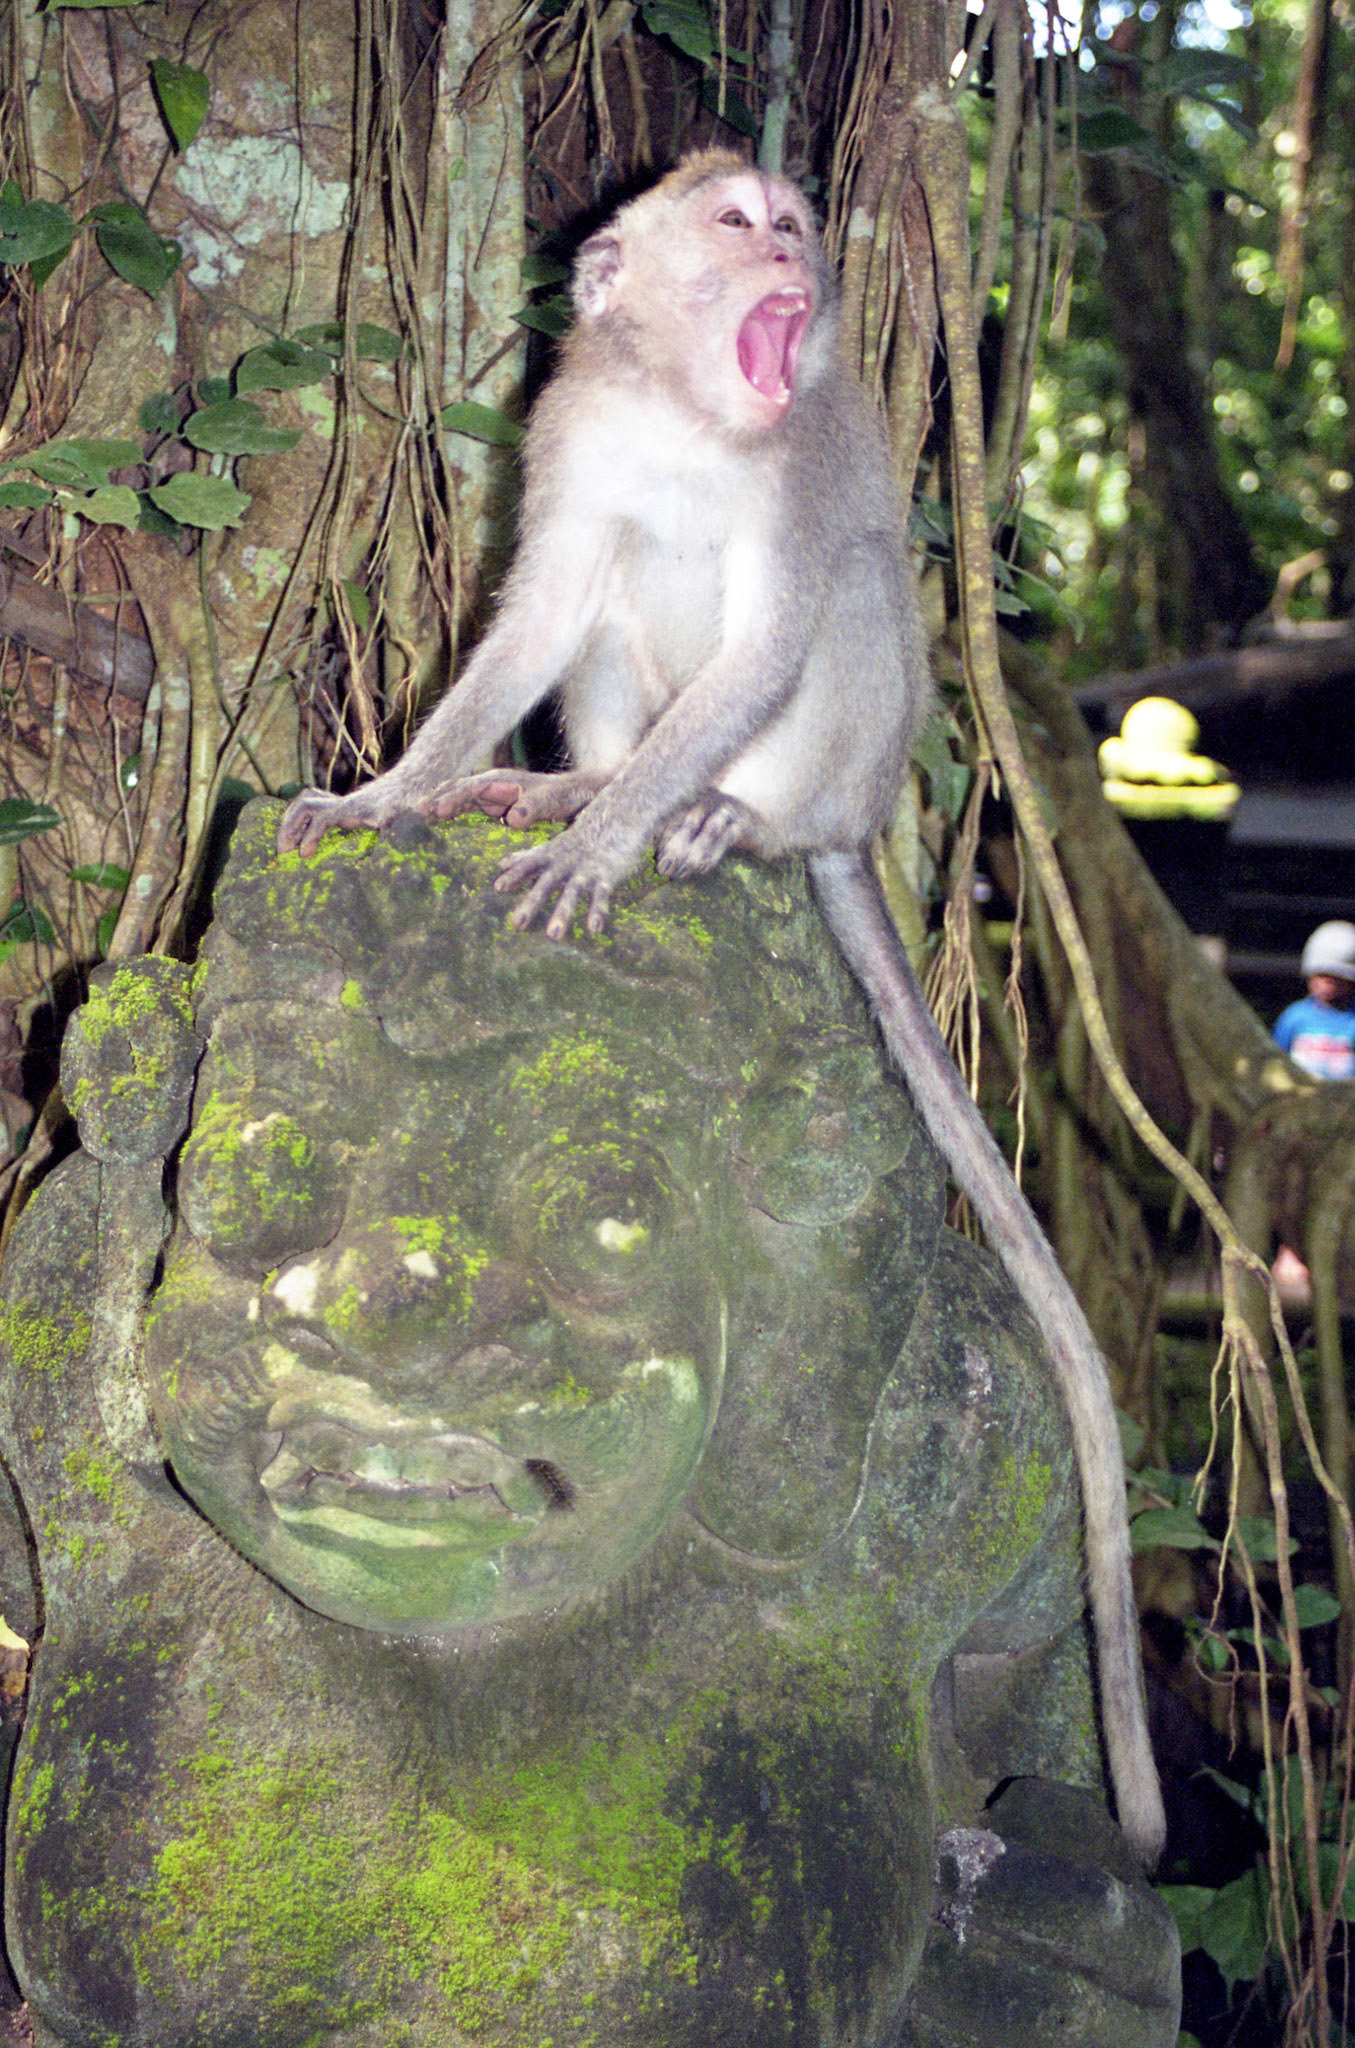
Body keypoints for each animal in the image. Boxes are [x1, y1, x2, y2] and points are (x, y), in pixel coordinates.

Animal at [278, 150, 1166, 1867]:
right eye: (739, 222)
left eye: (793, 223)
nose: (798, 264)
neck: (690, 412)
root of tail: (853, 824)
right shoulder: (575, 431)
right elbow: (542, 608)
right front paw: (393, 795)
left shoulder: (801, 471)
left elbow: (775, 631)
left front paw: (608, 847)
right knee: (621, 609)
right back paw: (565, 782)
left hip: (851, 761)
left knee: (846, 614)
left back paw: (708, 826)